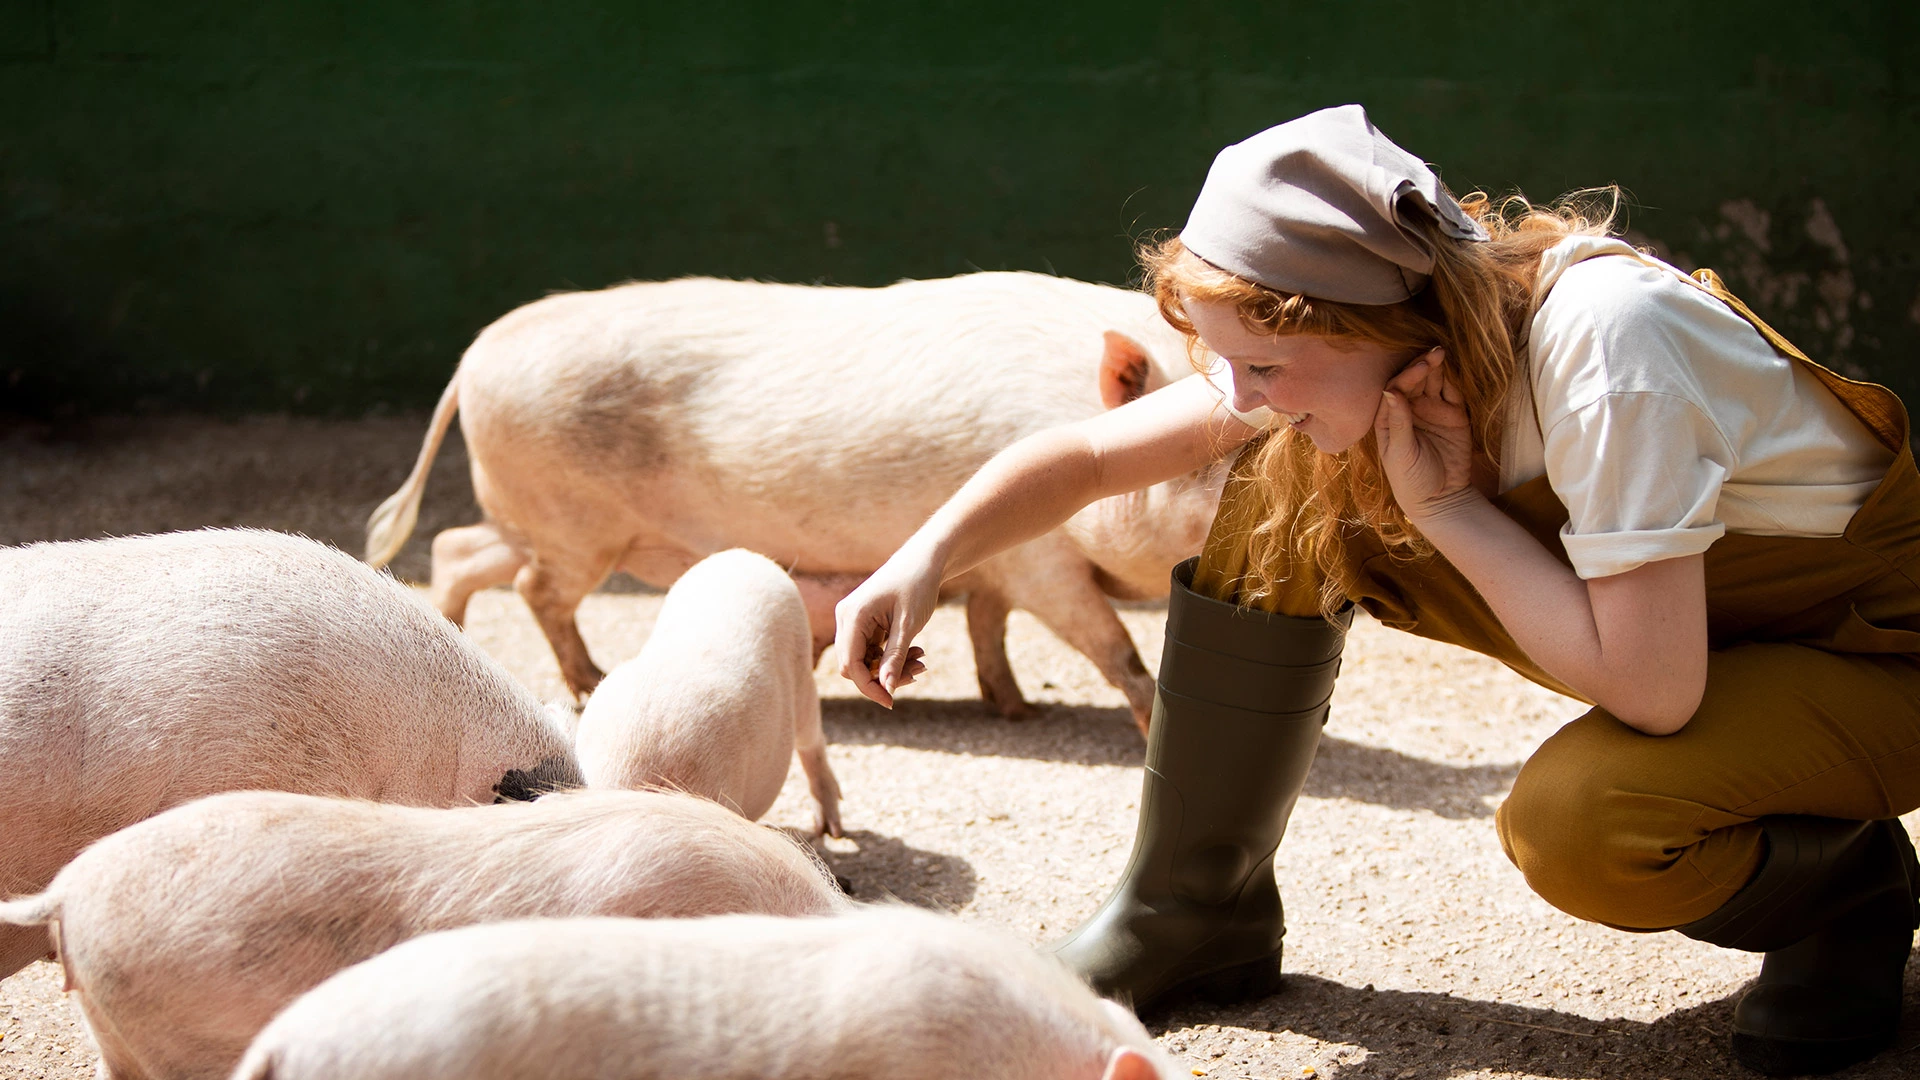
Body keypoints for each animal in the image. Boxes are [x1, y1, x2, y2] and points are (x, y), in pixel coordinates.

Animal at [362, 267, 1228, 730]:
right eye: (1206, 455)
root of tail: (476, 354)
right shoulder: (1043, 562)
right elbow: (1111, 648)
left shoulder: (1004, 573)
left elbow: (989, 625)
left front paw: (1017, 711)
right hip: (575, 525)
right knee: (532, 586)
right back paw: (590, 680)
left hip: (536, 517)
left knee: (457, 549)